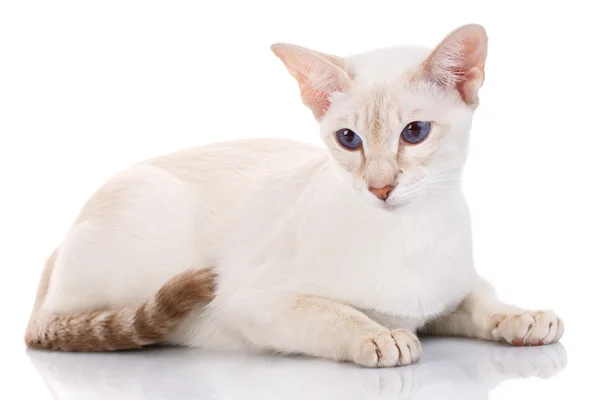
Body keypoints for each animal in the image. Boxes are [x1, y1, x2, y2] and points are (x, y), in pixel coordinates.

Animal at [24, 23, 564, 368]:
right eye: (348, 139)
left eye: (415, 132)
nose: (380, 187)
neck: (409, 234)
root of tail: (58, 244)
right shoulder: (250, 301)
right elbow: (334, 313)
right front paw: (379, 335)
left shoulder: (447, 292)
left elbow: (482, 300)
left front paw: (522, 316)